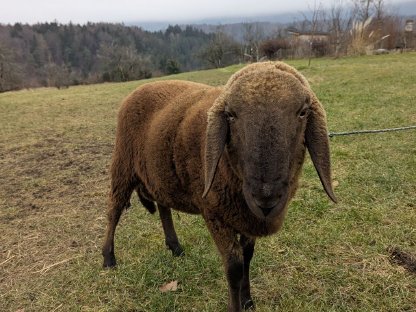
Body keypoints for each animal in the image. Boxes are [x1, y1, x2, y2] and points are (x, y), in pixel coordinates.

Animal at [101, 61, 338, 312]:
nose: (265, 198)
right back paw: (108, 258)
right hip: (123, 165)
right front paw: (236, 305)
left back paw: (175, 247)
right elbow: (234, 267)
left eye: (302, 112)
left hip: (158, 172)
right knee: (114, 210)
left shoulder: (246, 218)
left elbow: (247, 257)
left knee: (163, 206)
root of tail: (138, 90)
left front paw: (247, 300)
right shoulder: (214, 214)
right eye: (230, 115)